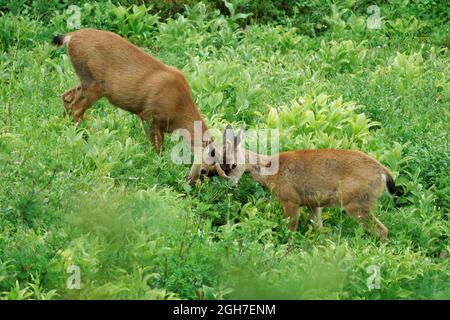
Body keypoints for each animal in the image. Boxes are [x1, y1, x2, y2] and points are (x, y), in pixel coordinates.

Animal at [51, 28, 217, 184]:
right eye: (204, 170)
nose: (191, 182)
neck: (178, 110)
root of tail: (70, 37)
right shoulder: (149, 116)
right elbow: (158, 149)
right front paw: (159, 165)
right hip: (94, 82)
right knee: (76, 109)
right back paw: (84, 137)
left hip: (85, 81)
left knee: (67, 97)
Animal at [210, 125, 398, 242]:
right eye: (222, 166)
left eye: (233, 165)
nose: (231, 185)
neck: (271, 171)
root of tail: (383, 172)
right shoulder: (312, 203)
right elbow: (319, 229)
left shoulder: (290, 199)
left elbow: (290, 229)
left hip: (356, 202)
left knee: (383, 230)